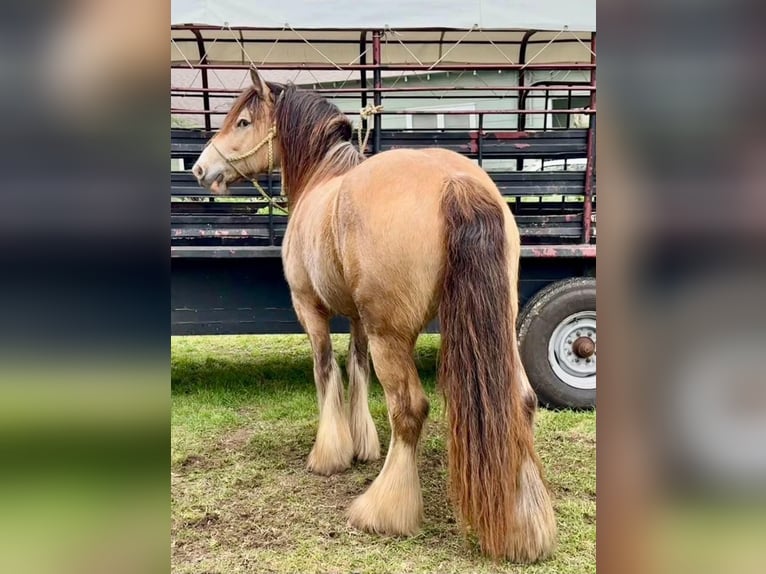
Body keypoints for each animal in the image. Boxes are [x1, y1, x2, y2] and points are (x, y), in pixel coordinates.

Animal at [191, 69, 557, 563]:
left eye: (243, 121)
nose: (199, 168)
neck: (321, 180)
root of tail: (456, 182)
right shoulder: (358, 318)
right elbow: (356, 368)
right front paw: (362, 444)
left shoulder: (311, 309)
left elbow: (326, 370)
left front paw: (330, 454)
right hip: (495, 324)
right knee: (521, 401)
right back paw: (526, 526)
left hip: (392, 335)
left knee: (410, 410)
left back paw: (384, 509)